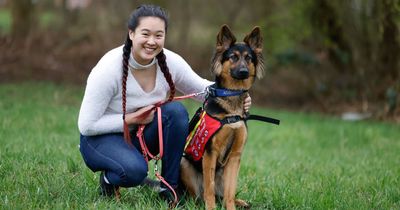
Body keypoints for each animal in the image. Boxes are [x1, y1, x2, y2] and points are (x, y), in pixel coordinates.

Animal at [180, 25, 262, 210]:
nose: (244, 71)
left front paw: (231, 207)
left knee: (223, 195)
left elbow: (230, 192)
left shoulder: (235, 157)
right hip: (184, 165)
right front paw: (210, 208)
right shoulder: (211, 152)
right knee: (198, 196)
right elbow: (209, 189)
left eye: (249, 58)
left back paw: (240, 202)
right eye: (233, 57)